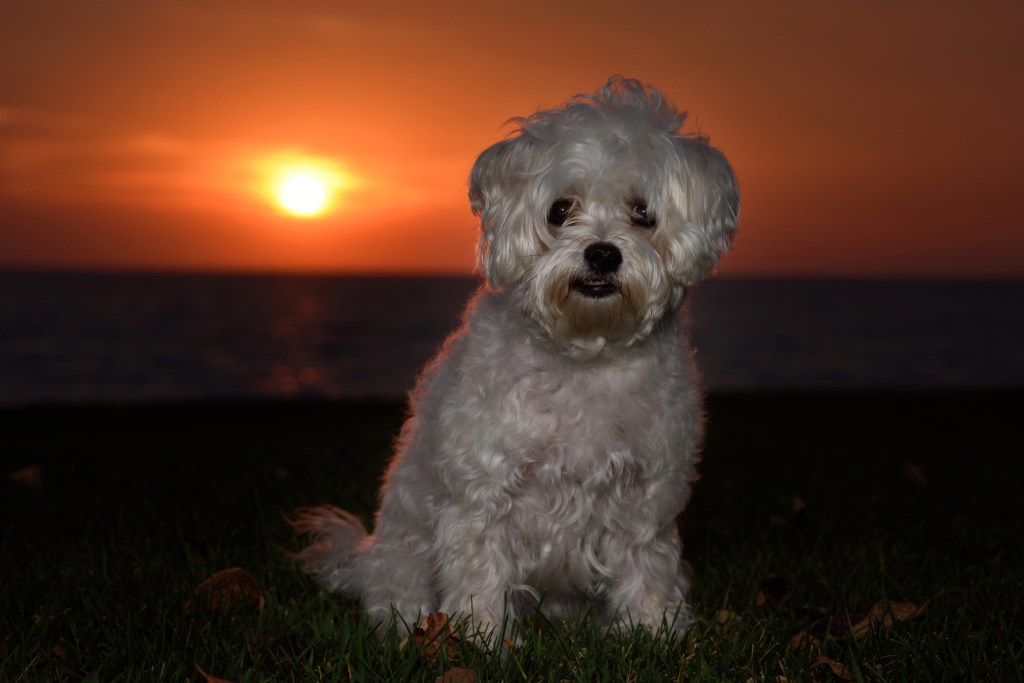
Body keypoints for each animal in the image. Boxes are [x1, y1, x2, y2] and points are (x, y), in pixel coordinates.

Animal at [292, 77, 741, 638]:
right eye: (560, 209)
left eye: (643, 213)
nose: (602, 253)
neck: (586, 355)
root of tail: (366, 555)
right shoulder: (484, 492)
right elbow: (481, 571)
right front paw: (481, 638)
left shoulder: (645, 498)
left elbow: (646, 567)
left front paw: (653, 631)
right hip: (403, 553)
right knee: (395, 589)